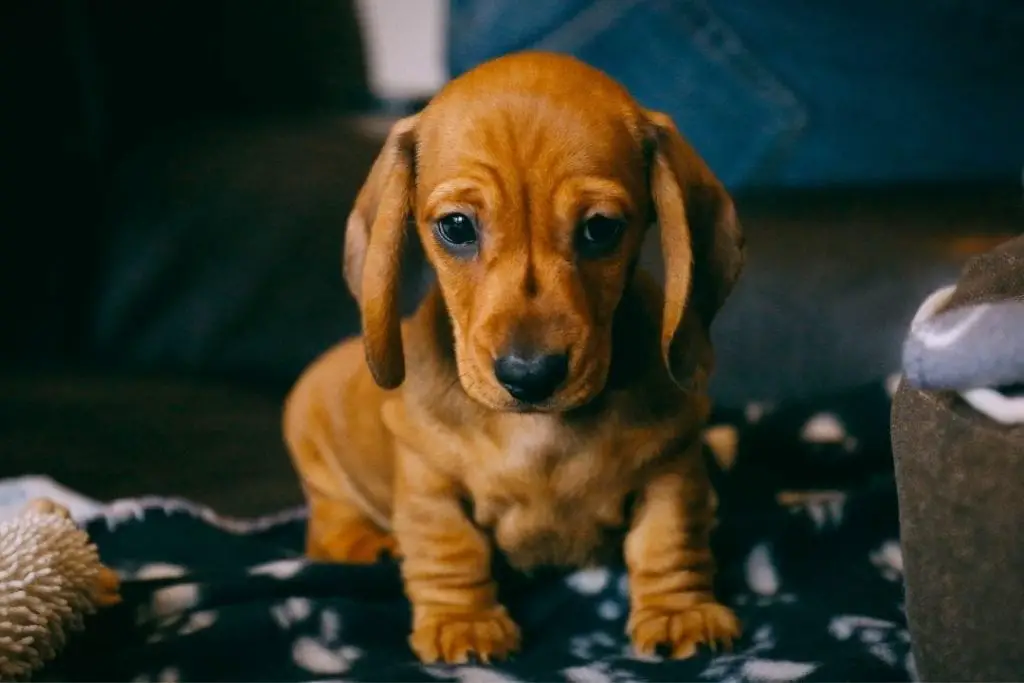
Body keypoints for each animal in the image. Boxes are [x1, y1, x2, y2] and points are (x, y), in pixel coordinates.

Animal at [280, 50, 745, 663]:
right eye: (456, 226)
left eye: (601, 229)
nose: (530, 377)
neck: (540, 432)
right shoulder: (429, 481)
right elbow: (449, 549)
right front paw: (464, 622)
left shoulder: (671, 467)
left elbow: (669, 541)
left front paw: (678, 610)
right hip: (315, 447)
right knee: (327, 525)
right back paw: (368, 544)